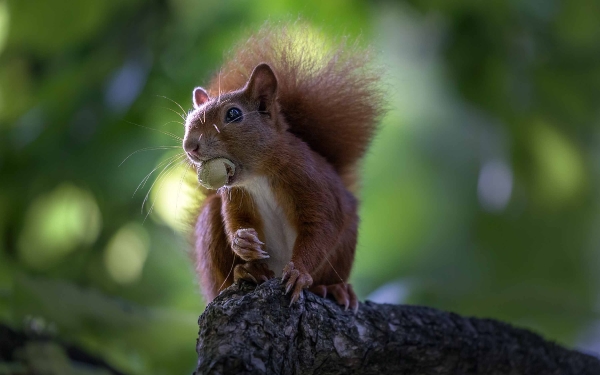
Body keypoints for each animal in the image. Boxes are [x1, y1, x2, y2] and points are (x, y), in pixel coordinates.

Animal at [180, 23, 382, 312]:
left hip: (345, 245)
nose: (190, 146)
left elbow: (321, 227)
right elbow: (236, 221)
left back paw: (333, 288)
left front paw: (298, 272)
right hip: (212, 235)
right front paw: (243, 242)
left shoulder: (312, 182)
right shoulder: (235, 196)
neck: (258, 177)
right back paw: (248, 271)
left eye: (233, 114)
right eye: (189, 120)